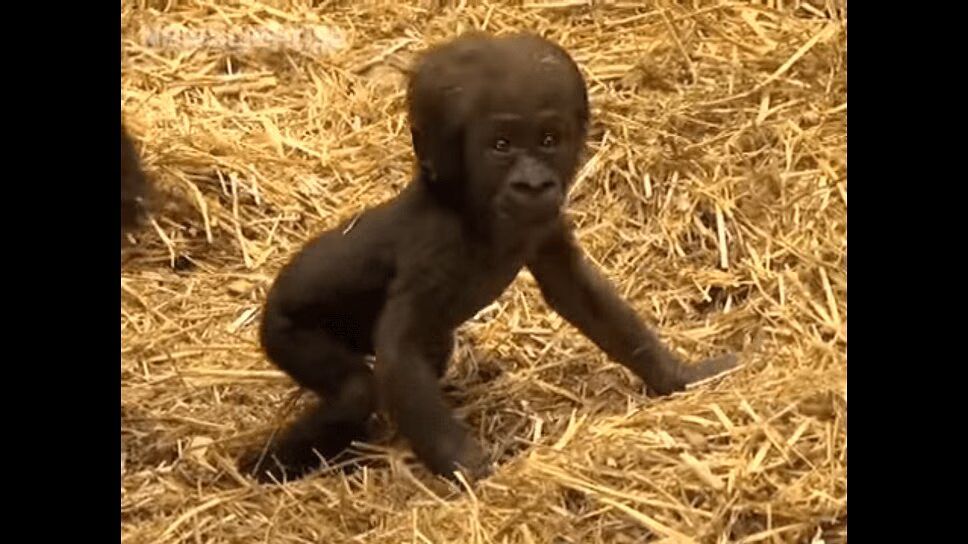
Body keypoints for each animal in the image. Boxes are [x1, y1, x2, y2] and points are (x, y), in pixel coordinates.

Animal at [241, 32, 738, 483]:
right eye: (501, 145)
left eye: (548, 139)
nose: (532, 184)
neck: (469, 206)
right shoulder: (435, 247)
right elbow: (399, 348)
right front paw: (471, 469)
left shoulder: (544, 226)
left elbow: (581, 296)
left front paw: (681, 375)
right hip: (284, 329)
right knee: (355, 390)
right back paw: (264, 466)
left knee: (425, 356)